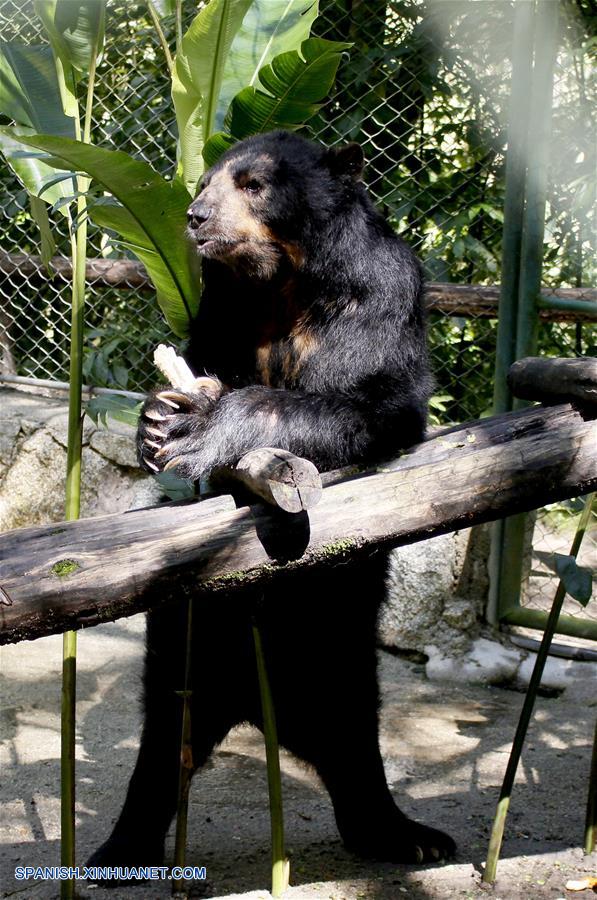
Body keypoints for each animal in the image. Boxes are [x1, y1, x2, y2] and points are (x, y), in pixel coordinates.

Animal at [87, 130, 455, 879]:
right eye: (205, 180)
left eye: (253, 184)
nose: (195, 217)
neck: (282, 276)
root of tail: (258, 703)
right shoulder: (223, 307)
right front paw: (157, 418)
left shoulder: (375, 291)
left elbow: (371, 400)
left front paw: (200, 427)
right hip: (193, 631)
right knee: (166, 731)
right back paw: (121, 846)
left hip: (336, 628)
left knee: (352, 727)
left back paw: (408, 834)